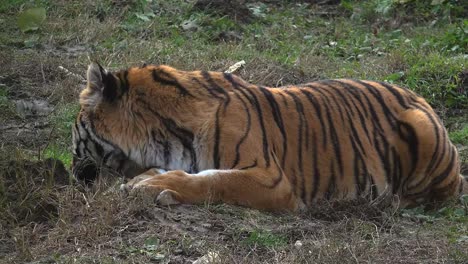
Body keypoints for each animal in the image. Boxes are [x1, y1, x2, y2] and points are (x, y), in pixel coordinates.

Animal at [70, 62, 468, 210]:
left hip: (421, 129)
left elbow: (213, 181)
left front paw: (151, 186)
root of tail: (422, 99)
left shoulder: (271, 178)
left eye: (74, 133)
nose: (72, 174)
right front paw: (147, 180)